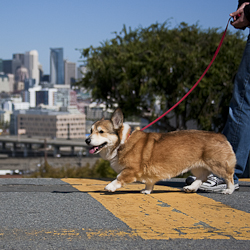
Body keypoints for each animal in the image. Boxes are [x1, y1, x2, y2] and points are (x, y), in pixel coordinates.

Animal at [85, 108, 235, 194]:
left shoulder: (132, 170)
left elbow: (119, 177)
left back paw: (228, 190)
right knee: (202, 177)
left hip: (218, 165)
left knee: (229, 176)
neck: (123, 142)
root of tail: (221, 136)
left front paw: (110, 187)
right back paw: (191, 188)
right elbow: (149, 182)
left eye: (101, 132)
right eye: (90, 131)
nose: (86, 141)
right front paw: (146, 191)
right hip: (197, 166)